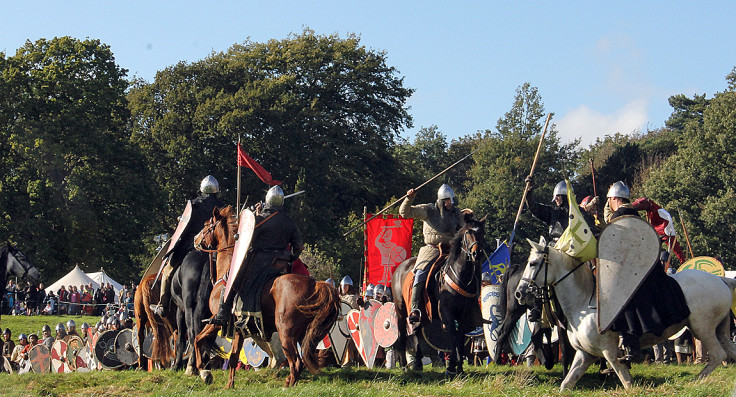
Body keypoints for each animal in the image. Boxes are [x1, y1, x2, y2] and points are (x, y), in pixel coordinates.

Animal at [191, 206, 338, 386]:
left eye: (206, 225)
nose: (195, 239)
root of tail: (315, 285)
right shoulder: (239, 326)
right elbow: (229, 354)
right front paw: (226, 383)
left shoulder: (218, 320)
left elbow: (199, 340)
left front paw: (205, 372)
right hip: (307, 333)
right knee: (300, 359)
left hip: (286, 332)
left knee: (295, 361)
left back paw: (288, 384)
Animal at [516, 240, 736, 388]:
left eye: (533, 263)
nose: (519, 293)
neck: (583, 305)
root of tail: (721, 280)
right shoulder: (585, 354)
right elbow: (566, 384)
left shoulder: (611, 353)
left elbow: (627, 382)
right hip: (719, 329)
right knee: (729, 351)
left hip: (702, 327)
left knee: (718, 355)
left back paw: (695, 380)